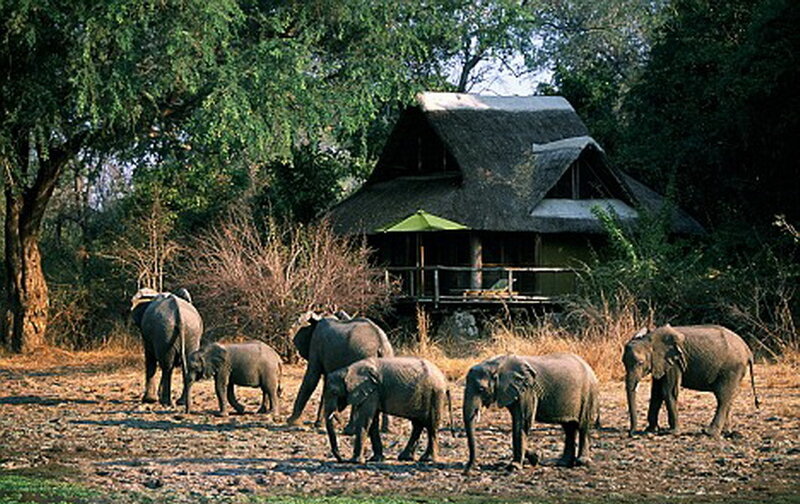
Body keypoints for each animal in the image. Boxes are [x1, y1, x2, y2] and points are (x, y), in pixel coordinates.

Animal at [323, 357, 453, 464]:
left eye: (334, 392)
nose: (341, 459)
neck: (348, 370)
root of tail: (445, 381)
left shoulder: (372, 391)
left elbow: (365, 420)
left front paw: (355, 461)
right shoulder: (372, 392)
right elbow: (373, 422)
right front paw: (376, 459)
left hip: (435, 394)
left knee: (431, 425)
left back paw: (427, 459)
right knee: (417, 424)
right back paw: (405, 458)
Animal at [463, 353, 599, 473]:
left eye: (481, 389)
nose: (466, 470)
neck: (496, 365)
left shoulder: (527, 390)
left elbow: (523, 422)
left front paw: (515, 467)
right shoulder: (514, 391)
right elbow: (517, 424)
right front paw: (535, 457)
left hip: (588, 393)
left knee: (582, 426)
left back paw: (581, 462)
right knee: (569, 428)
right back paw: (563, 462)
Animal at [623, 324, 760, 438]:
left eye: (640, 363)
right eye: (623, 362)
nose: (632, 433)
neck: (649, 340)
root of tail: (748, 350)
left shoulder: (674, 362)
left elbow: (668, 391)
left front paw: (671, 432)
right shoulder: (660, 363)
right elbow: (657, 393)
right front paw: (650, 430)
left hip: (731, 369)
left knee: (723, 397)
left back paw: (709, 433)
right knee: (729, 397)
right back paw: (727, 433)